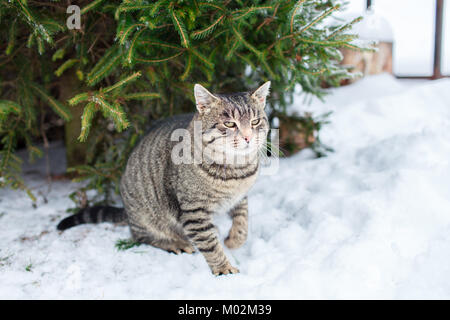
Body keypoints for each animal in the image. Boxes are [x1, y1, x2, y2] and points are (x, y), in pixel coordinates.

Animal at [59, 82, 270, 276]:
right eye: (230, 124)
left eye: (255, 122)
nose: (248, 137)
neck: (237, 171)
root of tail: (127, 211)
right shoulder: (194, 211)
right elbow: (209, 244)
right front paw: (223, 269)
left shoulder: (240, 197)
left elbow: (242, 220)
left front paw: (234, 241)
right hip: (146, 214)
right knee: (141, 236)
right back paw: (175, 243)